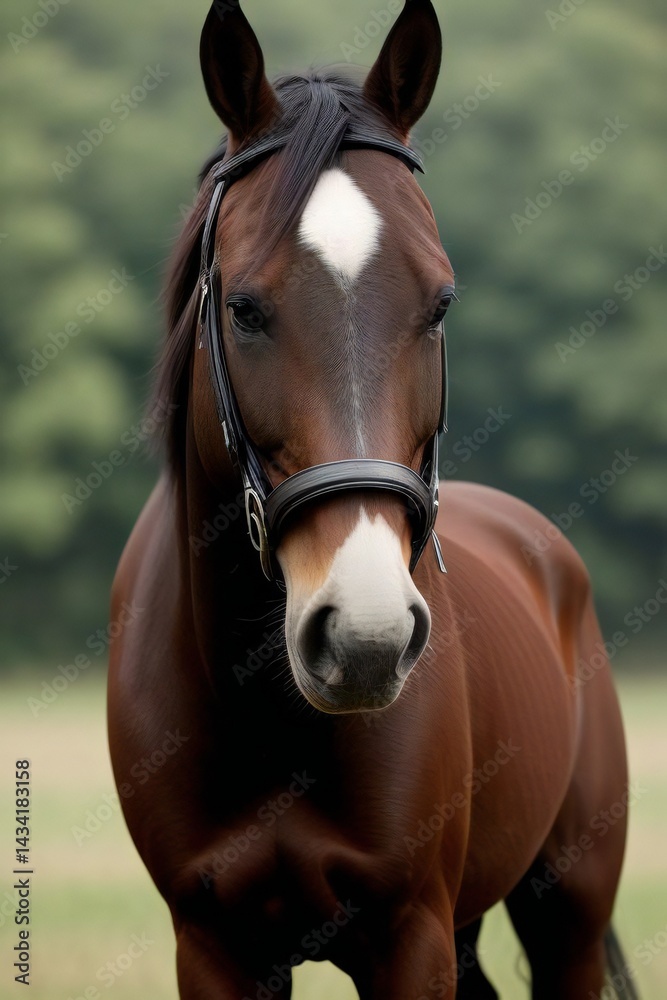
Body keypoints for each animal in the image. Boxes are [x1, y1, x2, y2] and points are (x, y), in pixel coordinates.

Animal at [108, 2, 636, 997]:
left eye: (439, 304)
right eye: (242, 308)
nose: (365, 637)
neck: (262, 707)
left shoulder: (409, 935)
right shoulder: (212, 946)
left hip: (567, 913)